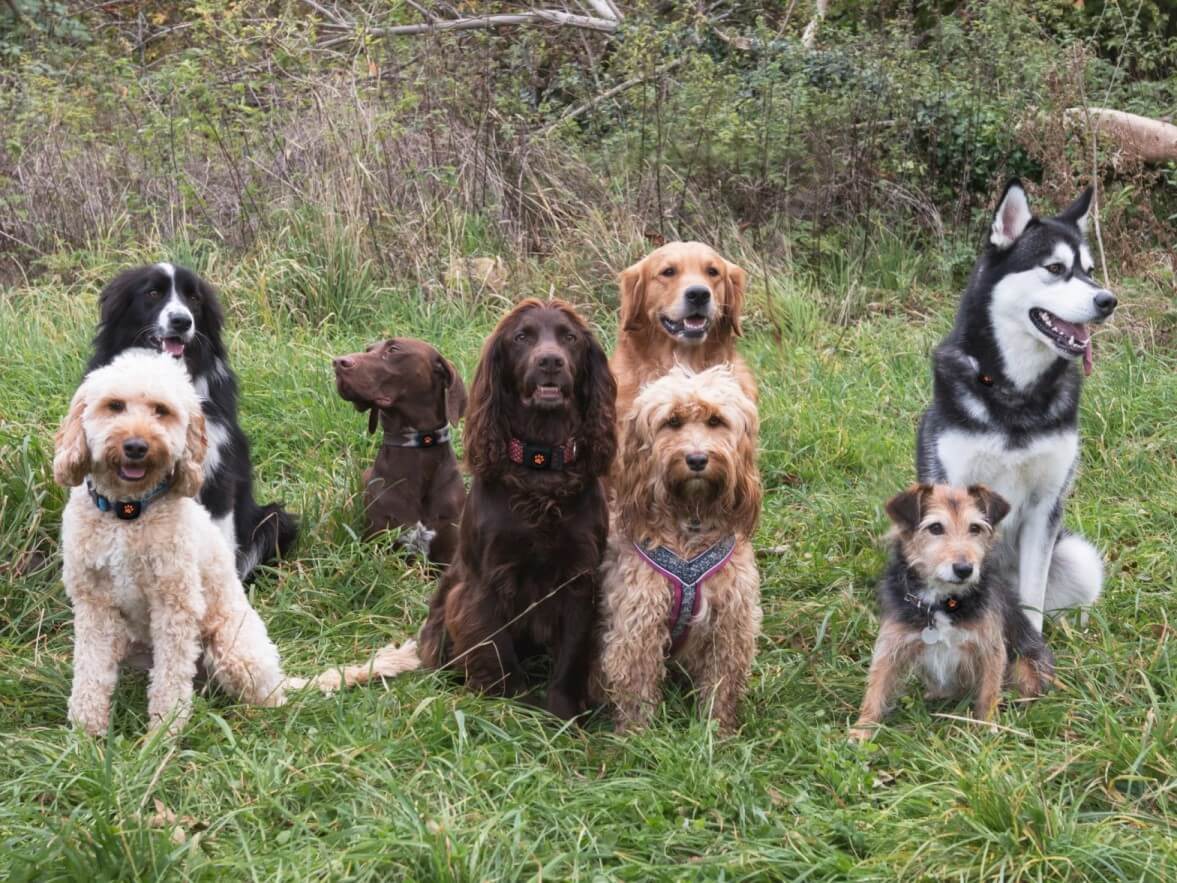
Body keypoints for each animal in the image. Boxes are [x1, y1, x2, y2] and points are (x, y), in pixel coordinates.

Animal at [602, 367, 757, 734]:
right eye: (672, 422)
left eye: (715, 421)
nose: (697, 459)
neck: (691, 518)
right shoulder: (639, 622)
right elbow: (637, 686)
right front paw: (637, 736)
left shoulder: (730, 623)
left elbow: (722, 685)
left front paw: (717, 732)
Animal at [852, 485, 1054, 739]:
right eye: (936, 528)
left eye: (975, 528)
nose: (964, 569)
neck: (942, 602)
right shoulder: (892, 644)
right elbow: (876, 687)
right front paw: (861, 729)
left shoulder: (991, 648)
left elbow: (988, 692)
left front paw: (987, 728)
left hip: (1025, 666)